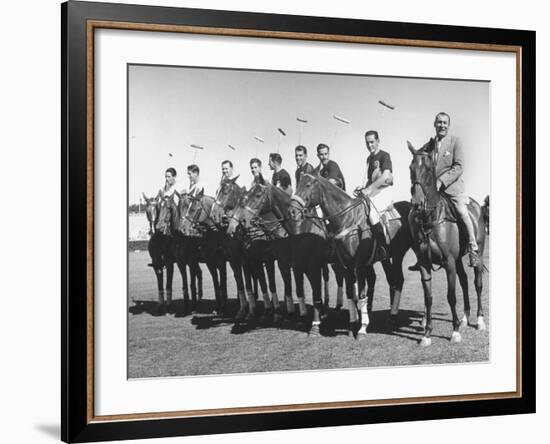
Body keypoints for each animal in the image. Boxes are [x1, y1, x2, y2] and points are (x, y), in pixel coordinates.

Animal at [292, 173, 412, 336]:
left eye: (308, 185)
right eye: (297, 184)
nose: (292, 210)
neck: (347, 218)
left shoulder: (358, 264)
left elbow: (360, 294)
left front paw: (362, 327)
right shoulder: (346, 265)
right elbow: (349, 293)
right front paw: (352, 325)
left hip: (399, 254)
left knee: (398, 280)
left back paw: (392, 316)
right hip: (386, 257)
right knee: (392, 280)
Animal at [408, 140, 490, 346]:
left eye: (428, 168)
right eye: (411, 168)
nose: (417, 203)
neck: (431, 219)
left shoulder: (449, 262)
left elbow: (451, 296)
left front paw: (454, 332)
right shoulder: (425, 264)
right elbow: (428, 297)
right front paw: (427, 334)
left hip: (477, 253)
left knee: (477, 283)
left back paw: (479, 320)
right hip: (459, 260)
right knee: (464, 282)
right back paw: (464, 318)